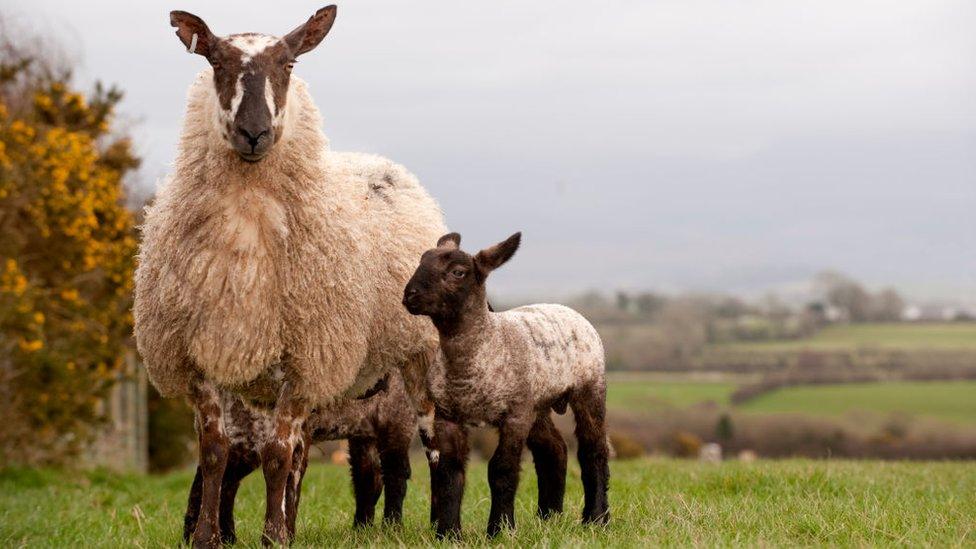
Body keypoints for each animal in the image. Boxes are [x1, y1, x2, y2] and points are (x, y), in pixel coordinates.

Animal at [400, 230, 608, 536]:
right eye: (421, 261)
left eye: (458, 272)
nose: (410, 295)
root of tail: (567, 309)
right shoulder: (448, 416)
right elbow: (449, 472)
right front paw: (448, 533)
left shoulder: (514, 416)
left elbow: (501, 469)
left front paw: (500, 529)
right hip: (536, 403)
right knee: (554, 450)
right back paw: (549, 517)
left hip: (589, 388)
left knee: (594, 450)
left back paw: (596, 518)